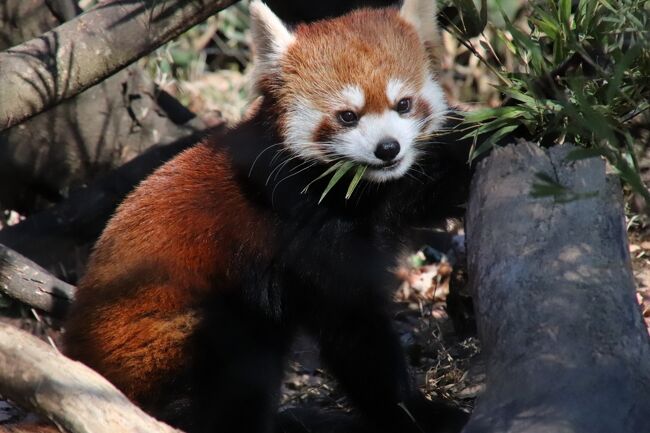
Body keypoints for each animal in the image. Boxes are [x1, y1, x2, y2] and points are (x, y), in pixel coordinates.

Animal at [64, 0, 470, 432]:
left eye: (403, 104)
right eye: (347, 116)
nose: (388, 148)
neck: (352, 190)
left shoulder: (388, 194)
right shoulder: (301, 226)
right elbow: (353, 330)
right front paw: (416, 412)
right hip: (167, 340)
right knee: (240, 354)